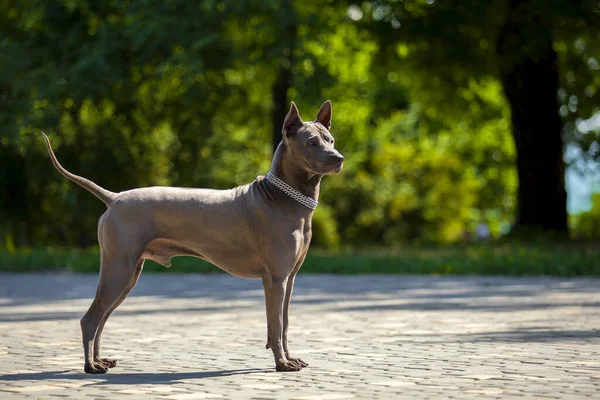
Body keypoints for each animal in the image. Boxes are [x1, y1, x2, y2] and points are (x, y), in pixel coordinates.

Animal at [42, 99, 344, 372]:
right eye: (312, 142)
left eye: (330, 139)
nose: (338, 158)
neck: (282, 198)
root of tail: (114, 198)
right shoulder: (276, 280)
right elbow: (276, 324)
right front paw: (282, 363)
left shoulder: (289, 280)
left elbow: (285, 324)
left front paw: (289, 358)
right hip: (119, 269)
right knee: (90, 318)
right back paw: (90, 366)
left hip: (128, 274)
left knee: (102, 319)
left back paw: (99, 360)